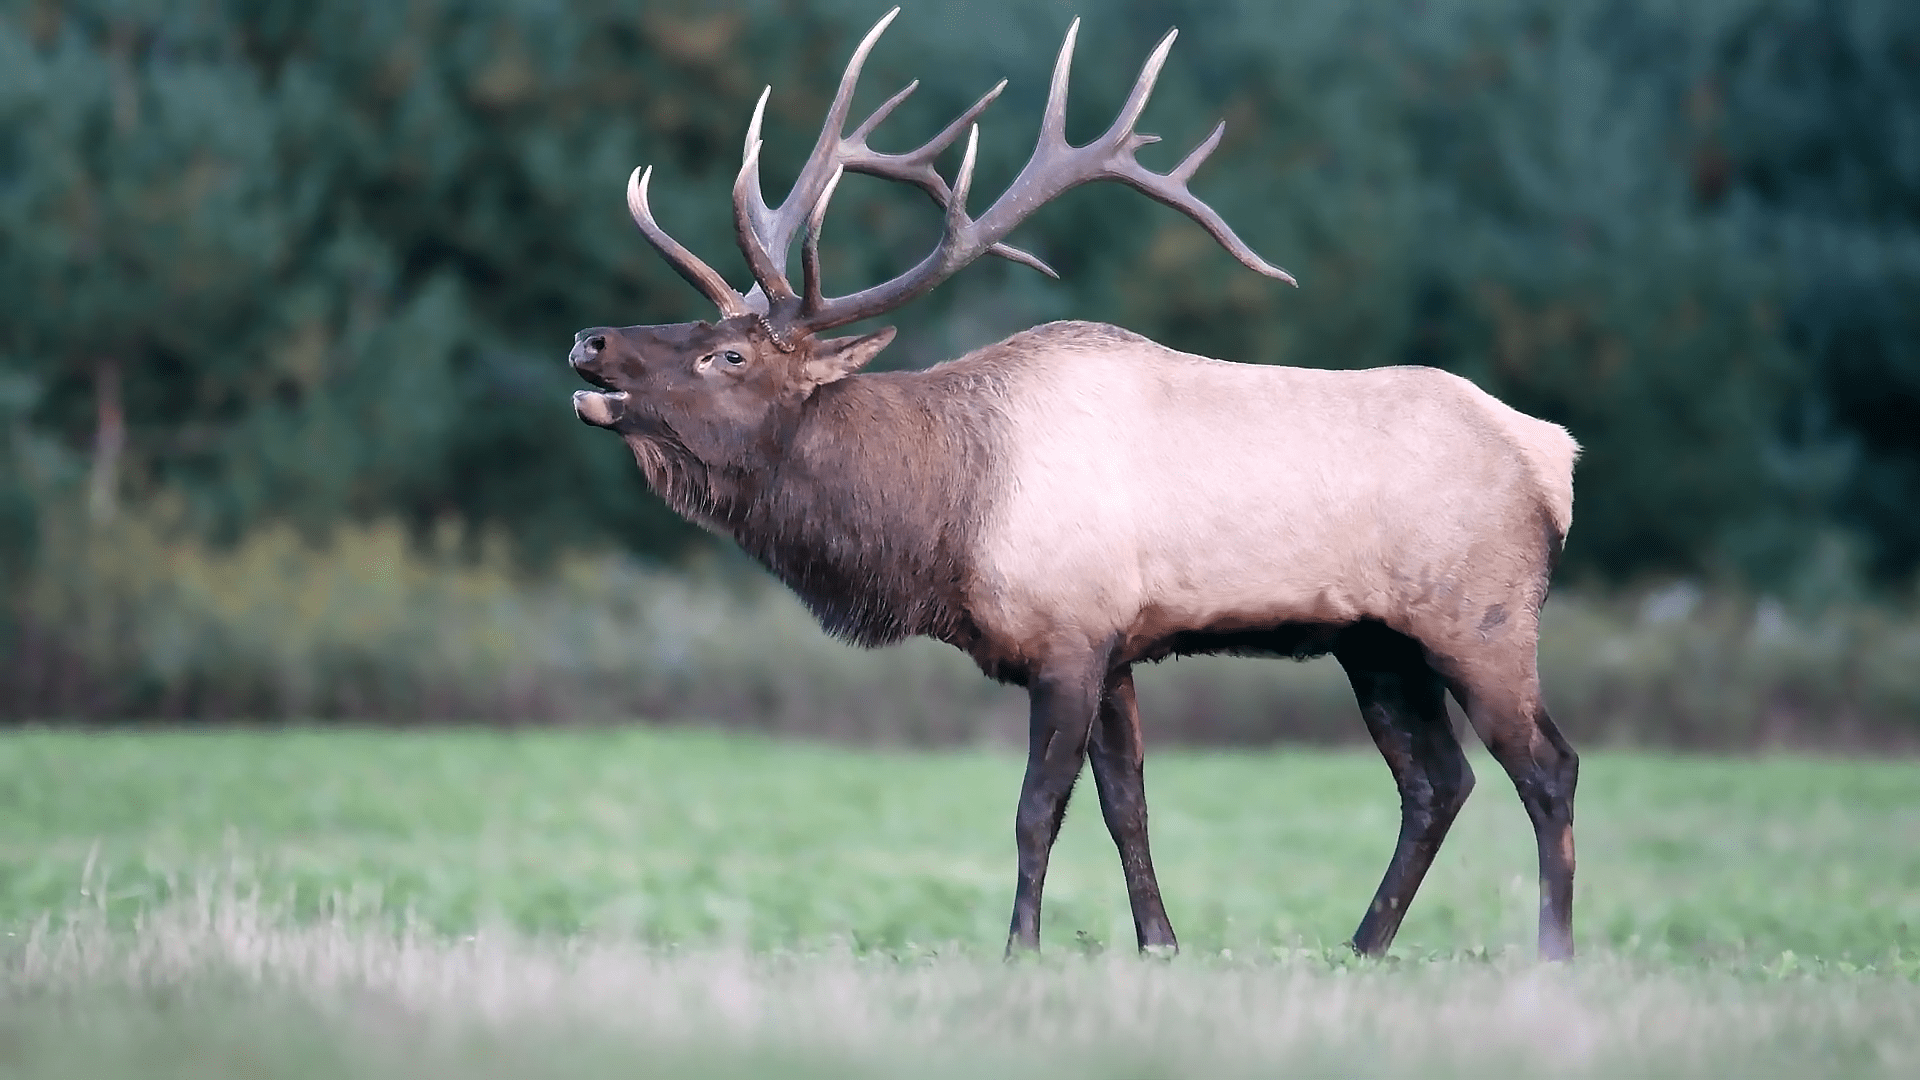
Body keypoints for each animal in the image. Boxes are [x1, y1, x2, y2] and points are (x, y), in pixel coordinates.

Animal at [564, 10, 1574, 957]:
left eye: (727, 354)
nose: (591, 340)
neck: (944, 516)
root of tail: (1553, 455)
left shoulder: (1068, 637)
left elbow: (1035, 810)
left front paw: (1021, 948)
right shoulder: (1118, 645)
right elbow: (1127, 807)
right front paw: (1161, 944)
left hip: (1481, 621)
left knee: (1546, 768)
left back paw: (1552, 952)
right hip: (1378, 643)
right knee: (1438, 781)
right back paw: (1362, 946)